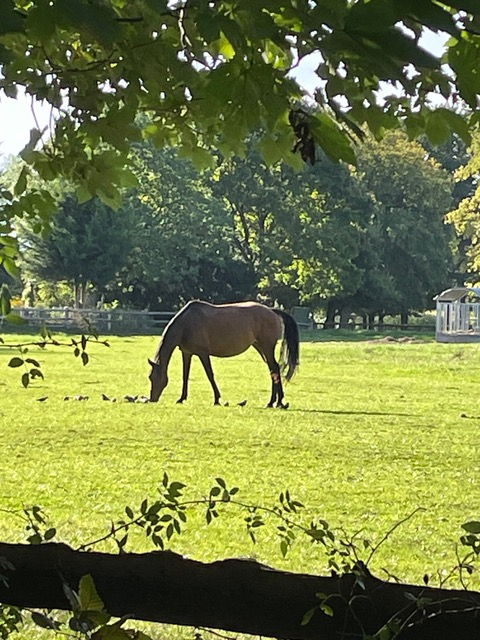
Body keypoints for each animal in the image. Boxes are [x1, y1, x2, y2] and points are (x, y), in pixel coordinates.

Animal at [148, 300, 299, 408]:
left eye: (155, 377)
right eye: (150, 377)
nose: (152, 399)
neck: (186, 324)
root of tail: (272, 311)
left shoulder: (203, 353)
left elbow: (210, 375)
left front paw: (217, 399)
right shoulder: (187, 353)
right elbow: (185, 376)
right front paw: (181, 398)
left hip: (267, 347)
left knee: (274, 369)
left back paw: (275, 402)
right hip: (260, 347)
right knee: (274, 369)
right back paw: (276, 402)